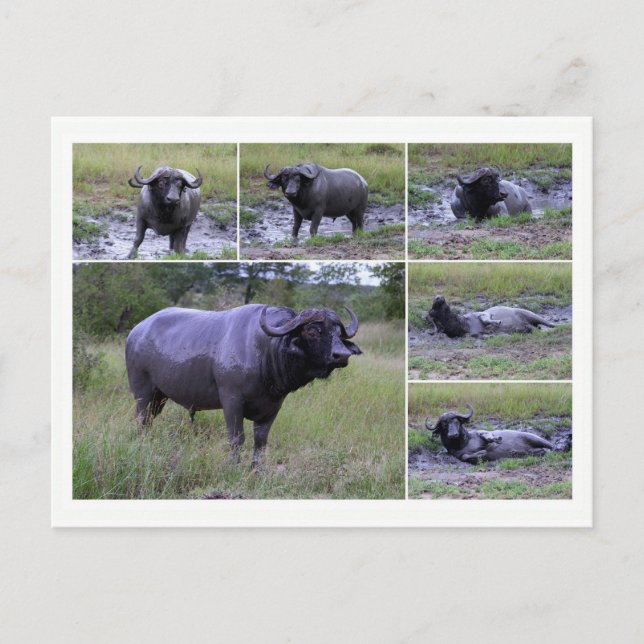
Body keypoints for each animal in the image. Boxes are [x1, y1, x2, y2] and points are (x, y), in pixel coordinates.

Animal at [125, 303, 362, 466]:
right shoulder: (231, 401)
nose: (342, 355)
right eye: (312, 331)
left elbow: (261, 440)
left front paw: (258, 469)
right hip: (143, 393)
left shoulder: (273, 407)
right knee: (140, 420)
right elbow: (237, 438)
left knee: (149, 421)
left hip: (160, 397)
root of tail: (136, 331)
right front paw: (234, 465)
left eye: (338, 333)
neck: (265, 351)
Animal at [426, 295, 555, 338]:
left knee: (547, 323)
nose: (438, 297)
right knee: (533, 328)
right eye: (432, 310)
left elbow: (486, 317)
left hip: (529, 313)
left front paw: (496, 322)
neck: (464, 324)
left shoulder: (481, 314)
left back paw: (554, 325)